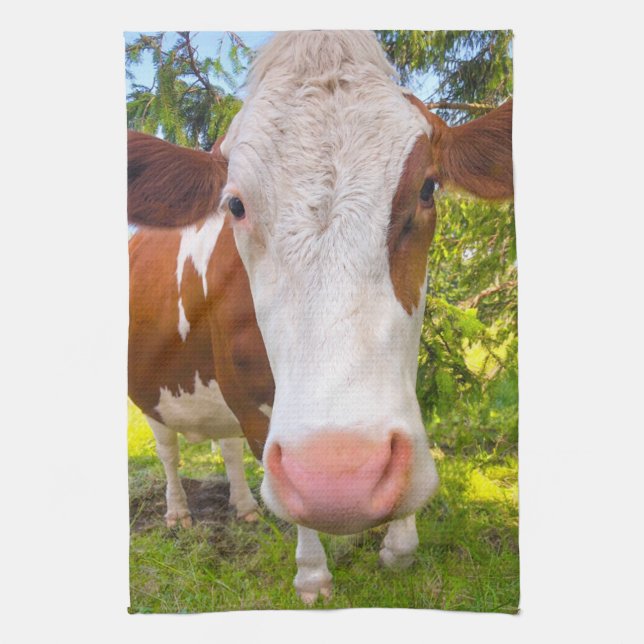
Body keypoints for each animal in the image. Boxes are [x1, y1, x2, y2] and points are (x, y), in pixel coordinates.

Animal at [127, 30, 513, 603]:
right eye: (235, 205)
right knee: (171, 450)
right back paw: (178, 514)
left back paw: (245, 508)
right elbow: (285, 490)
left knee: (225, 447)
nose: (342, 480)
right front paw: (312, 575)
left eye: (427, 188)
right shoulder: (249, 399)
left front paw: (398, 547)